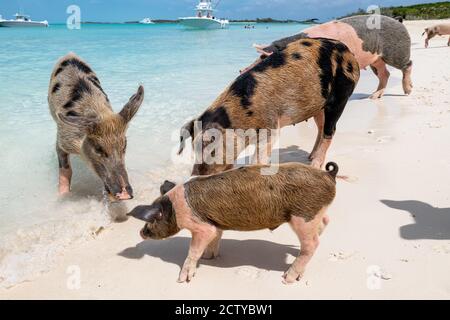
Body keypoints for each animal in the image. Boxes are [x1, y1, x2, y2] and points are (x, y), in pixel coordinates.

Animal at [47, 53, 143, 201]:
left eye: (124, 146)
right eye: (98, 149)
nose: (125, 194)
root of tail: (70, 54)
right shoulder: (62, 139)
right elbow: (65, 169)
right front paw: (63, 196)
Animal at [126, 161, 338, 284]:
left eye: (152, 219)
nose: (141, 232)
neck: (175, 207)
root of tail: (329, 175)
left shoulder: (202, 227)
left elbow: (193, 250)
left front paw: (182, 280)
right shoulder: (214, 224)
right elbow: (215, 238)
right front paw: (208, 258)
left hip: (302, 217)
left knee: (312, 244)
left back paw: (288, 279)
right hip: (314, 215)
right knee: (324, 222)